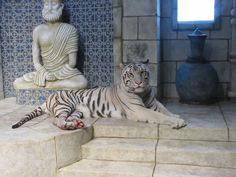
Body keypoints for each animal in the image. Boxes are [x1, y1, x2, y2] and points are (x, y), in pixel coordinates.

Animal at [12, 61, 186, 130]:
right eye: (131, 74)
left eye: (143, 72)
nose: (138, 83)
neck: (142, 93)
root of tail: (48, 97)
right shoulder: (139, 110)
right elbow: (159, 116)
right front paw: (178, 122)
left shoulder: (154, 103)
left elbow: (165, 111)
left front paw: (177, 116)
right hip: (65, 104)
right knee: (57, 121)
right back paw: (69, 126)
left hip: (77, 111)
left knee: (65, 119)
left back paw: (76, 124)